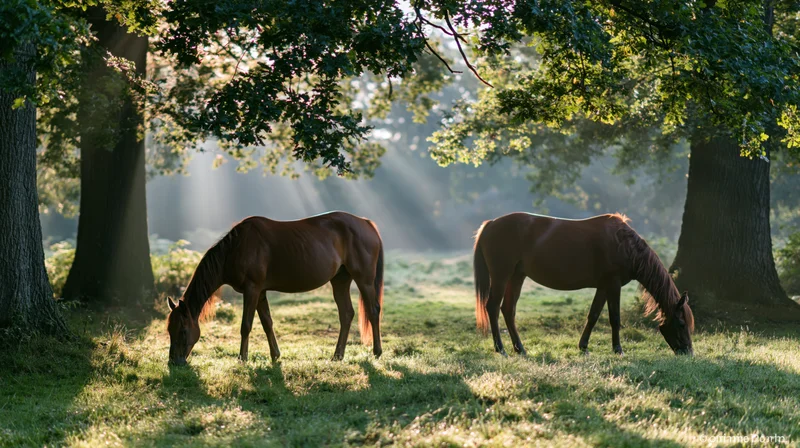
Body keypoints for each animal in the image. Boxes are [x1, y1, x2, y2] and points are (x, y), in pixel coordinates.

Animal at [166, 211, 384, 365]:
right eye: (169, 329)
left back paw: (377, 352)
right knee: (346, 314)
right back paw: (337, 355)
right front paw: (275, 355)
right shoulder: (260, 292)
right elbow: (267, 322)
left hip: (364, 279)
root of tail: (365, 222)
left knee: (373, 311)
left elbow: (246, 325)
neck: (237, 248)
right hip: (340, 281)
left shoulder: (252, 289)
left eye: (183, 330)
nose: (174, 362)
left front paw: (242, 359)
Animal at [473, 212, 694, 356]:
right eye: (682, 324)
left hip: (517, 276)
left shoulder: (603, 286)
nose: (688, 353)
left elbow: (593, 315)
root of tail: (490, 224)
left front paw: (584, 347)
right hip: (501, 276)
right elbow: (614, 318)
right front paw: (618, 350)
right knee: (493, 307)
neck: (624, 245)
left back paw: (520, 349)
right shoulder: (613, 285)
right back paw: (501, 349)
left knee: (508, 309)